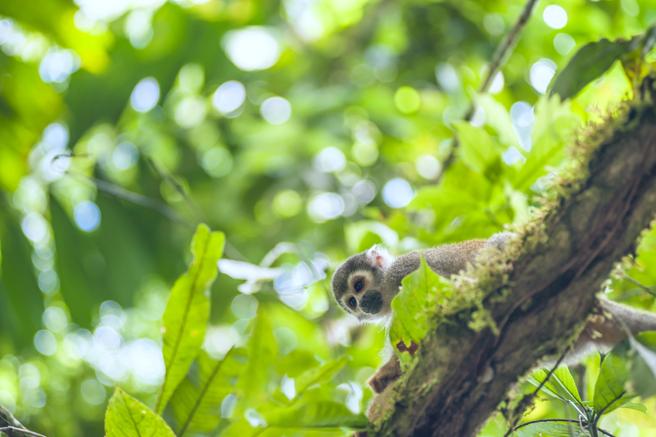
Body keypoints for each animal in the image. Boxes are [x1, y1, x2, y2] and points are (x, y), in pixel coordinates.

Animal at [330, 232, 656, 392]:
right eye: (351, 301)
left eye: (359, 285)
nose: (363, 304)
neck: (387, 288)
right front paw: (387, 375)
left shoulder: (405, 271)